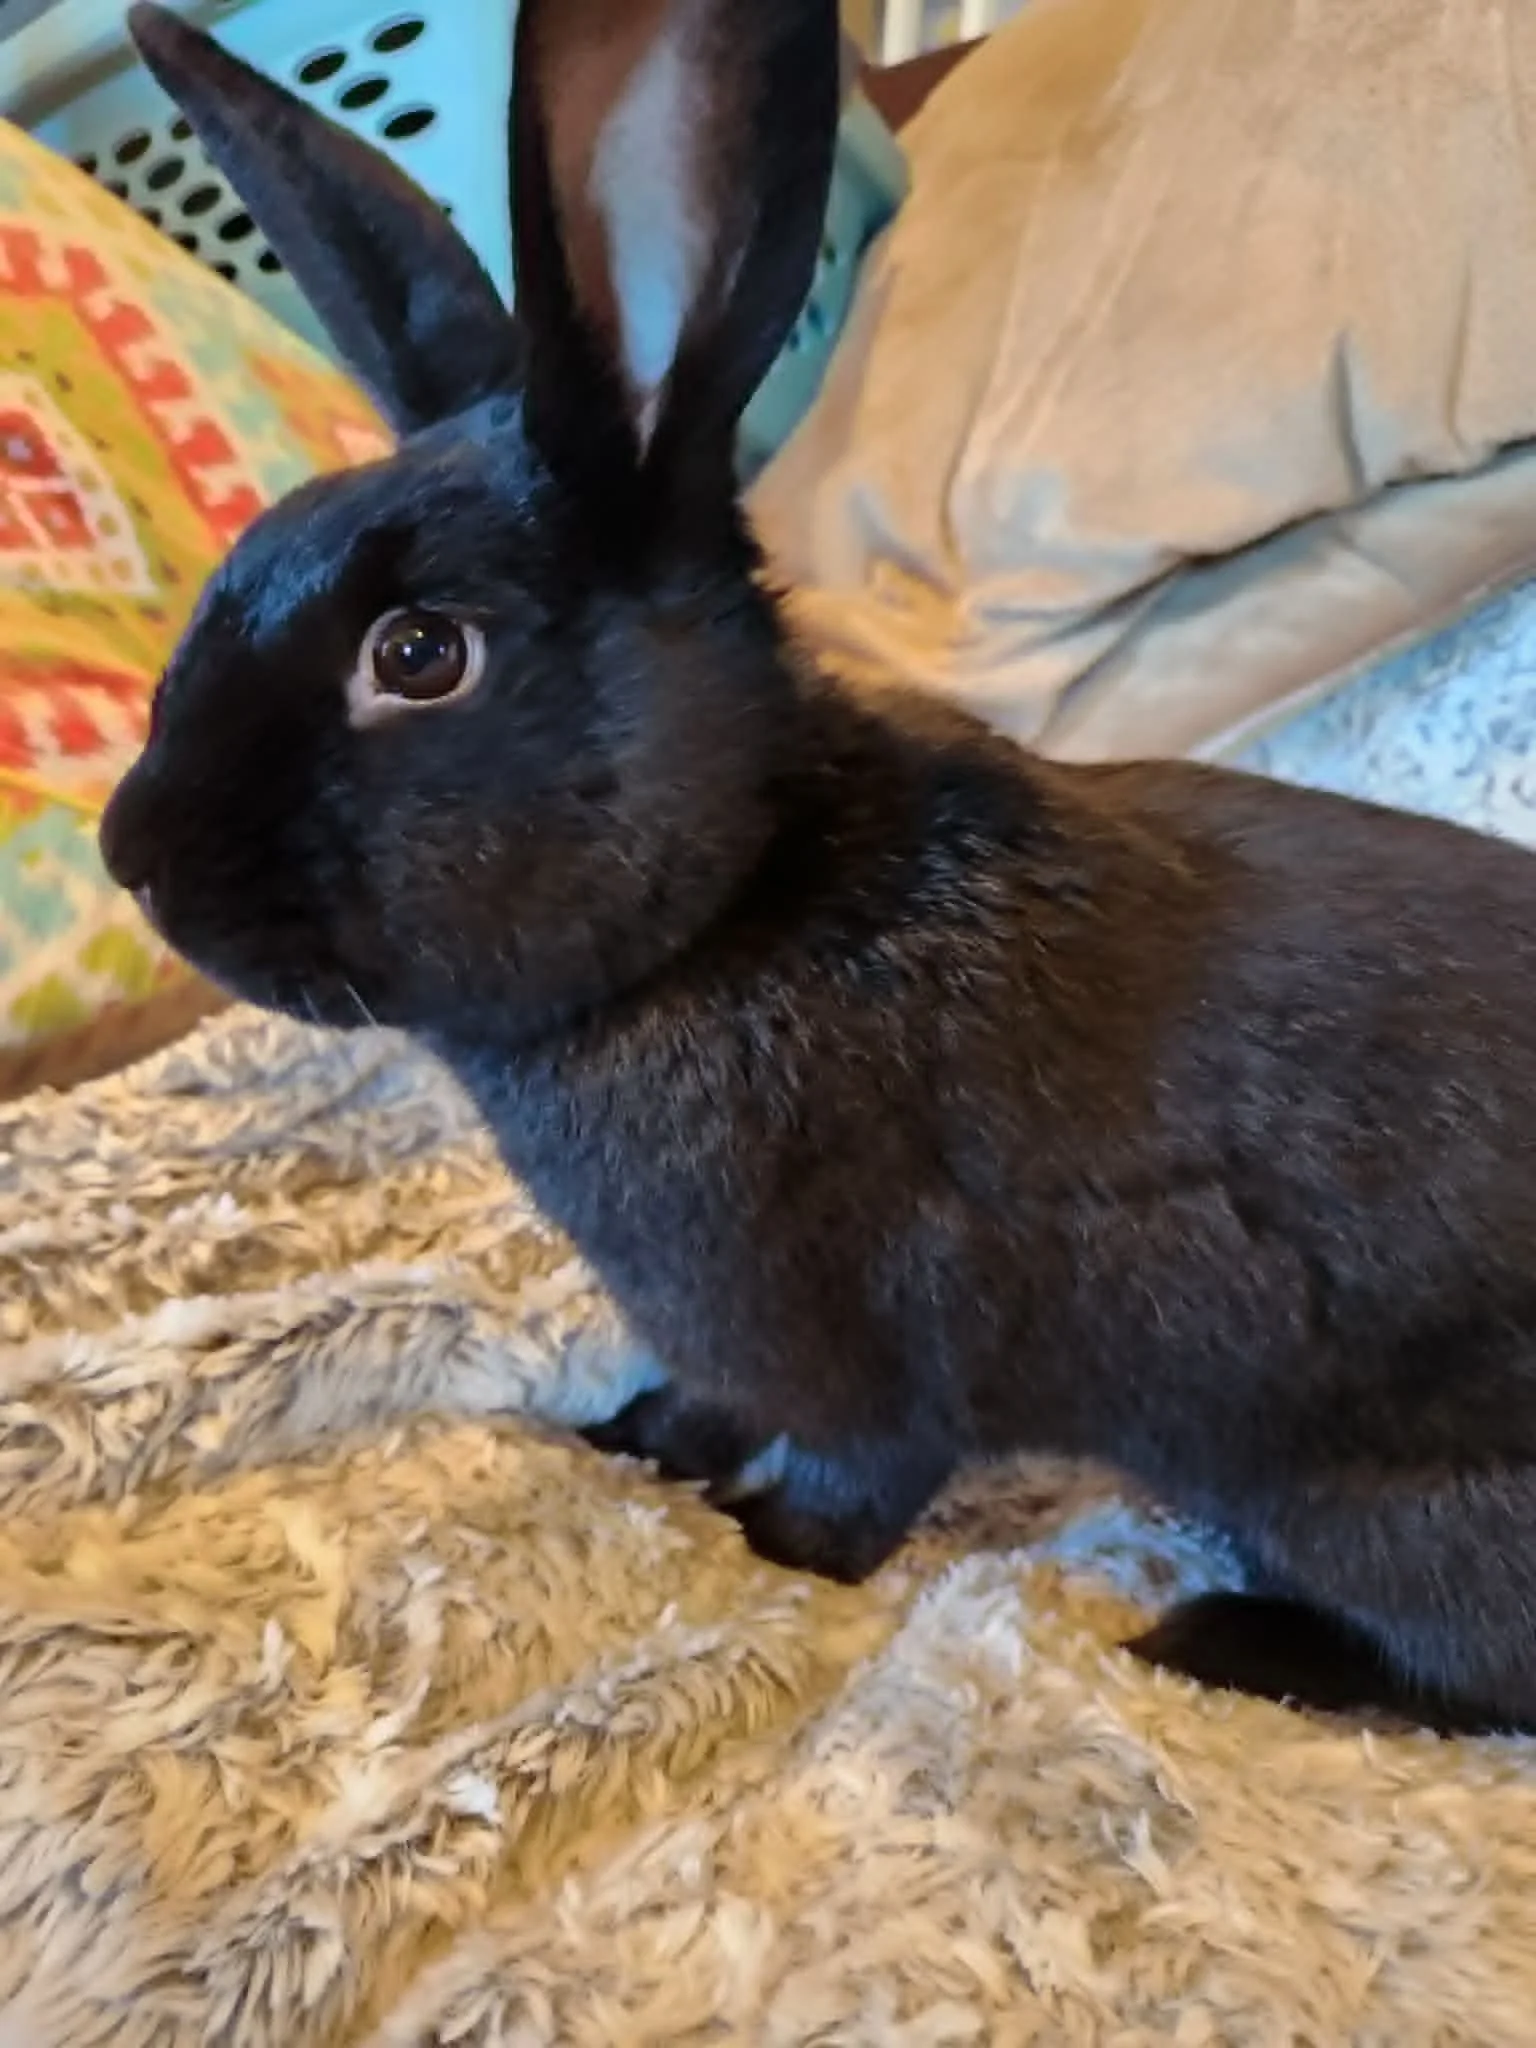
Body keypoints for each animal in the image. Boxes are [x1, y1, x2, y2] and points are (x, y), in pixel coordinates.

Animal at [101, 0, 1536, 1739]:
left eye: (421, 655)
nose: (131, 856)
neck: (725, 918)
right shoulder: (734, 1341)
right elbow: (705, 1406)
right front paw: (626, 1443)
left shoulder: (882, 1350)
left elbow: (856, 1483)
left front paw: (764, 1546)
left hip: (1375, 1504)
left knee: (1479, 1674)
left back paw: (1221, 1643)